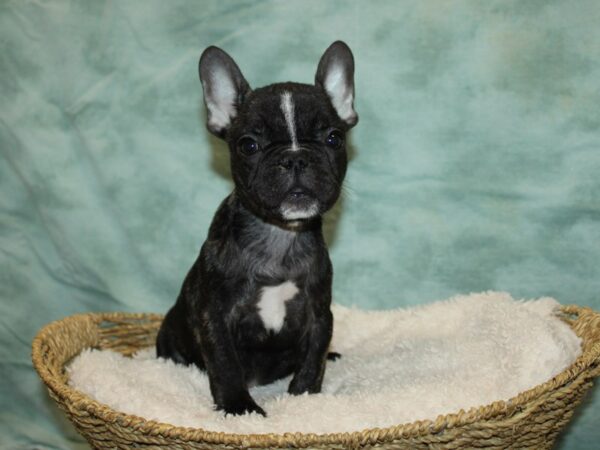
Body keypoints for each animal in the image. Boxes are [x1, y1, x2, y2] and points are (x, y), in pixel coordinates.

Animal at [157, 41, 358, 414]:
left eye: (334, 138)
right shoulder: (215, 318)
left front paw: (303, 399)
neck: (280, 234)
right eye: (248, 145)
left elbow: (313, 359)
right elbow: (225, 364)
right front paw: (239, 408)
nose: (295, 157)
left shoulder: (319, 315)